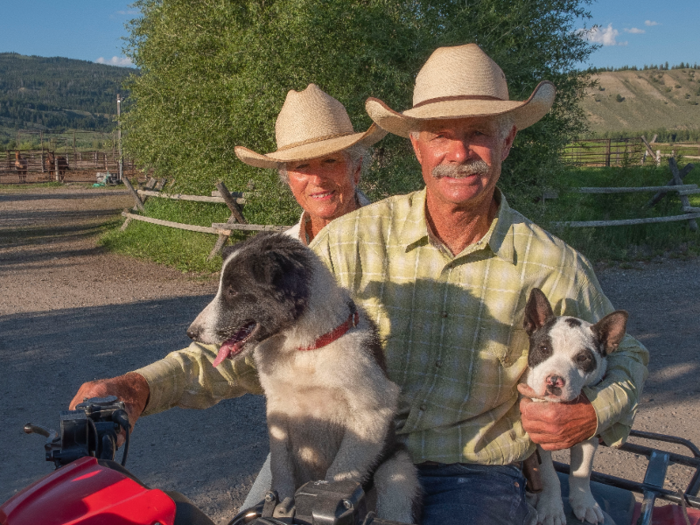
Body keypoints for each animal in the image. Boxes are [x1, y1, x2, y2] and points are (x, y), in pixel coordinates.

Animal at [185, 232, 422, 520]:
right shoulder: (278, 408)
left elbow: (340, 474)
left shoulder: (372, 410)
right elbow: (281, 469)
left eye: (233, 290)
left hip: (397, 470)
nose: (191, 333)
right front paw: (278, 506)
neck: (304, 349)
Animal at [524, 288, 628, 524]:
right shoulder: (538, 438)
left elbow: (582, 472)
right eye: (544, 349)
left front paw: (585, 503)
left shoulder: (588, 433)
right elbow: (550, 476)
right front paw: (551, 508)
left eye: (583, 358)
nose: (554, 381)